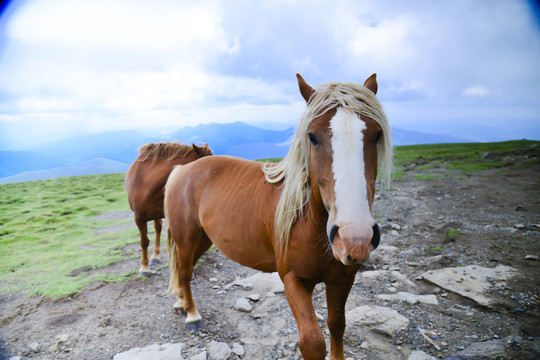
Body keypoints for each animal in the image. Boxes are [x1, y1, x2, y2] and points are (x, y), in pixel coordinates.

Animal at [125, 141, 213, 276]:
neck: (146, 184)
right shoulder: (139, 218)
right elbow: (144, 242)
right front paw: (144, 268)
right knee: (157, 228)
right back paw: (154, 257)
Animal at [165, 74, 392, 360]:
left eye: (376, 135)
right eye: (312, 137)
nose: (355, 237)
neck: (309, 223)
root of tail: (182, 169)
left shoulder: (342, 279)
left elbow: (337, 325)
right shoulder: (293, 280)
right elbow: (312, 342)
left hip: (204, 239)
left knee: (185, 267)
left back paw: (180, 303)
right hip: (186, 237)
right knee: (184, 270)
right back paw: (192, 314)